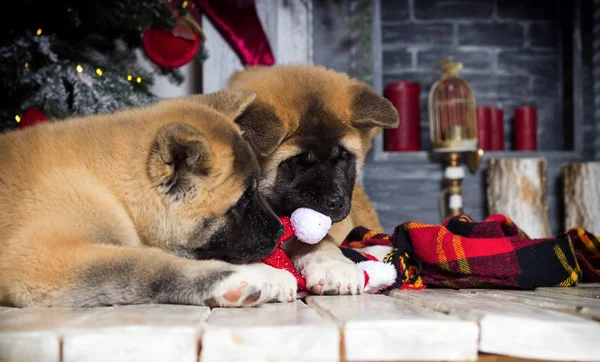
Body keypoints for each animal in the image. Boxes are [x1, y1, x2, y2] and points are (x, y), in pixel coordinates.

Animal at [0, 89, 296, 306]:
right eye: (243, 200)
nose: (281, 229)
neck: (109, 185)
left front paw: (267, 273)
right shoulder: (41, 257)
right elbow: (147, 263)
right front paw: (247, 277)